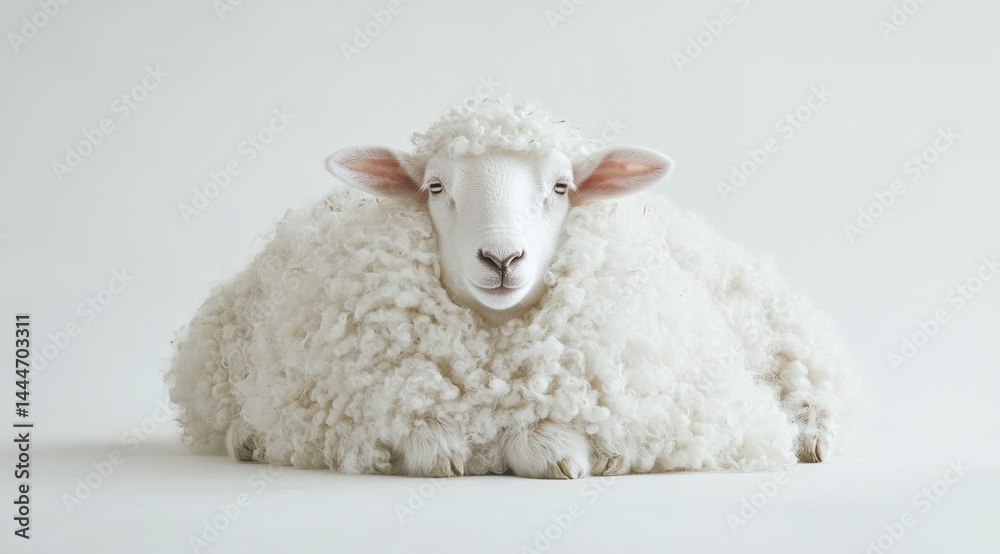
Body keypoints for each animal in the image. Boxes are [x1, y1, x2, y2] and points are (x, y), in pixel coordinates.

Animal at [166, 97, 865, 479]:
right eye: (435, 186)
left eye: (561, 187)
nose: (501, 257)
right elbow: (415, 432)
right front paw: (441, 443)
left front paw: (559, 449)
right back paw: (245, 439)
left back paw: (812, 438)